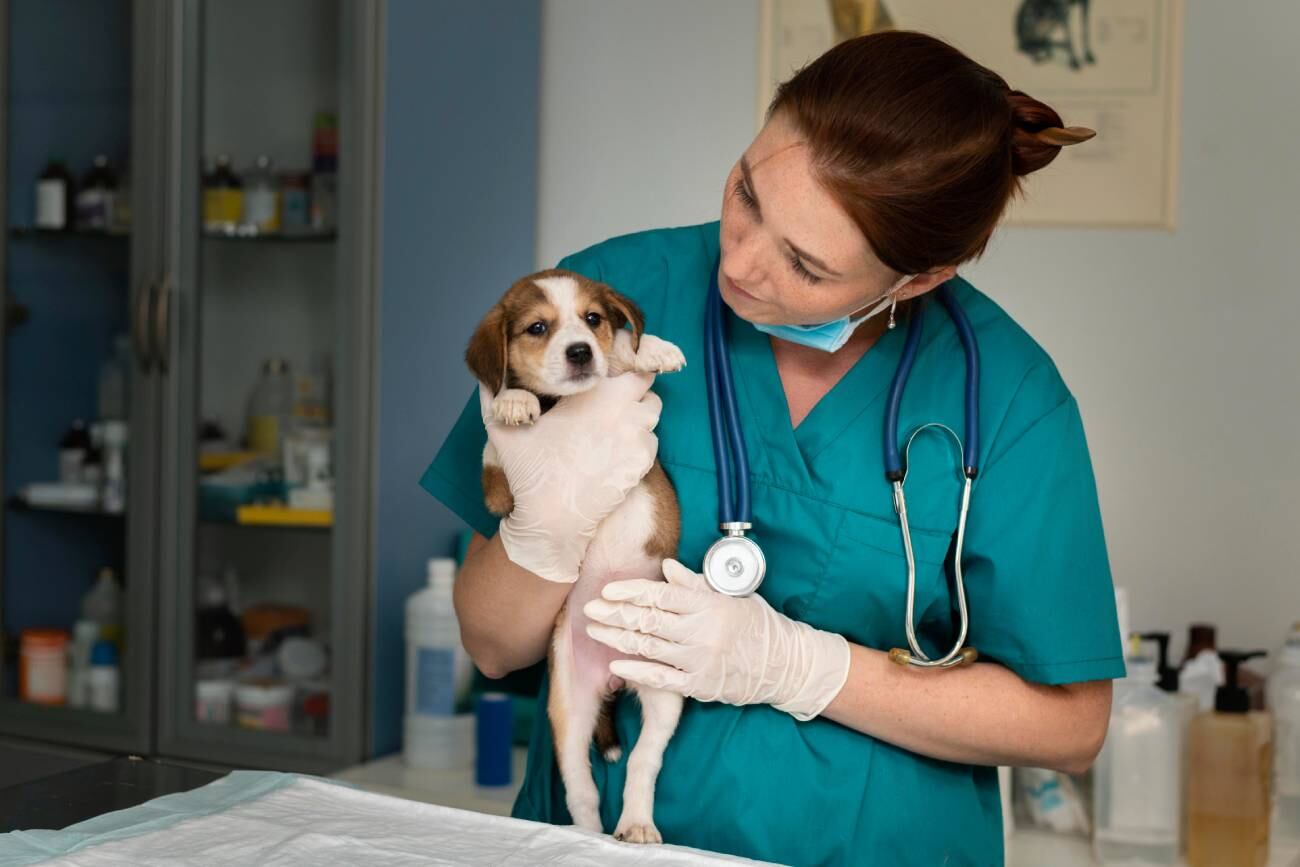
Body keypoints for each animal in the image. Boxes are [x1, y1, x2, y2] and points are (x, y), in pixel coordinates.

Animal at [470, 269, 691, 842]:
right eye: (536, 328)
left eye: (593, 320)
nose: (579, 352)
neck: (562, 406)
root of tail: (614, 676)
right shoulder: (497, 492)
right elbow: (494, 448)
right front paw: (511, 402)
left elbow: (623, 356)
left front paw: (647, 349)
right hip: (568, 707)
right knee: (581, 787)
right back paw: (588, 833)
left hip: (664, 694)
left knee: (642, 763)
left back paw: (635, 824)